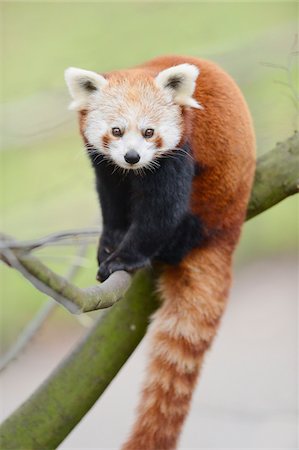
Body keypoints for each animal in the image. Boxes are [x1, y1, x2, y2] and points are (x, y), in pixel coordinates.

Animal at [65, 56, 255, 450]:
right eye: (117, 131)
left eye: (149, 132)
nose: (132, 157)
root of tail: (228, 231)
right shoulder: (106, 166)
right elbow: (113, 199)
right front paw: (110, 242)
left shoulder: (180, 150)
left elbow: (161, 212)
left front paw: (124, 257)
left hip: (207, 211)